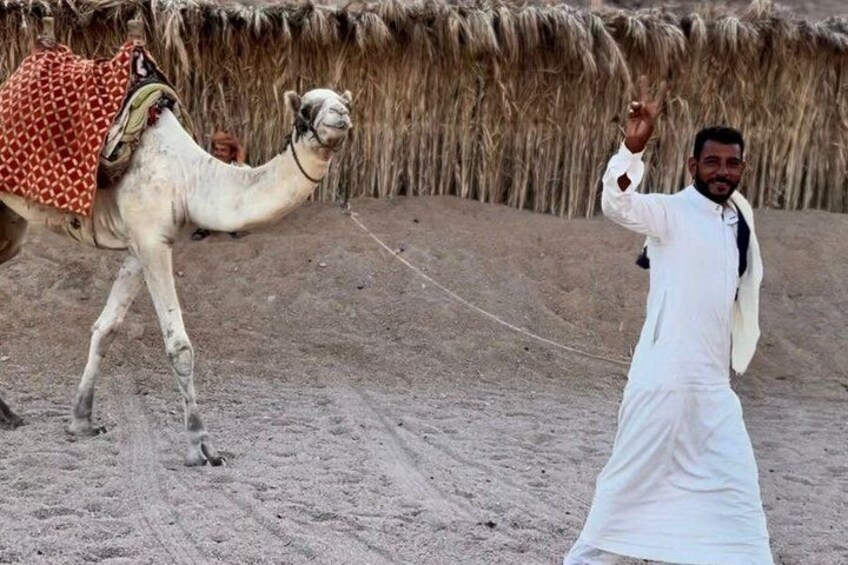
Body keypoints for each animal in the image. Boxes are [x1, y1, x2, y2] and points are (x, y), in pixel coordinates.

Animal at [0, 43, 353, 464]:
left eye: (344, 101)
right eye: (306, 109)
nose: (341, 116)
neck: (191, 178)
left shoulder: (141, 245)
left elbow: (106, 328)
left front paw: (81, 420)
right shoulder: (153, 242)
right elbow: (179, 346)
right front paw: (200, 445)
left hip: (10, 222)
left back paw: (8, 415)